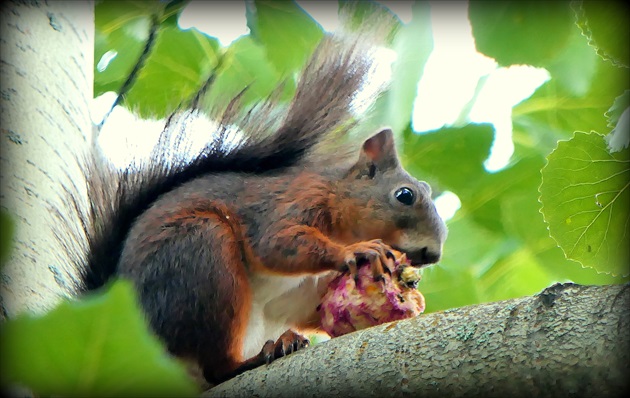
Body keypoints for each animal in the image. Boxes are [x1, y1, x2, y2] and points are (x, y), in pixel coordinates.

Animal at [64, 32, 446, 388]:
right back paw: (253, 359)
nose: (433, 254)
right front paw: (357, 250)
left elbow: (310, 304)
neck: (338, 202)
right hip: (202, 261)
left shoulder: (305, 291)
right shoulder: (289, 203)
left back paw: (283, 343)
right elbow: (276, 244)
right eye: (405, 195)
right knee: (216, 366)